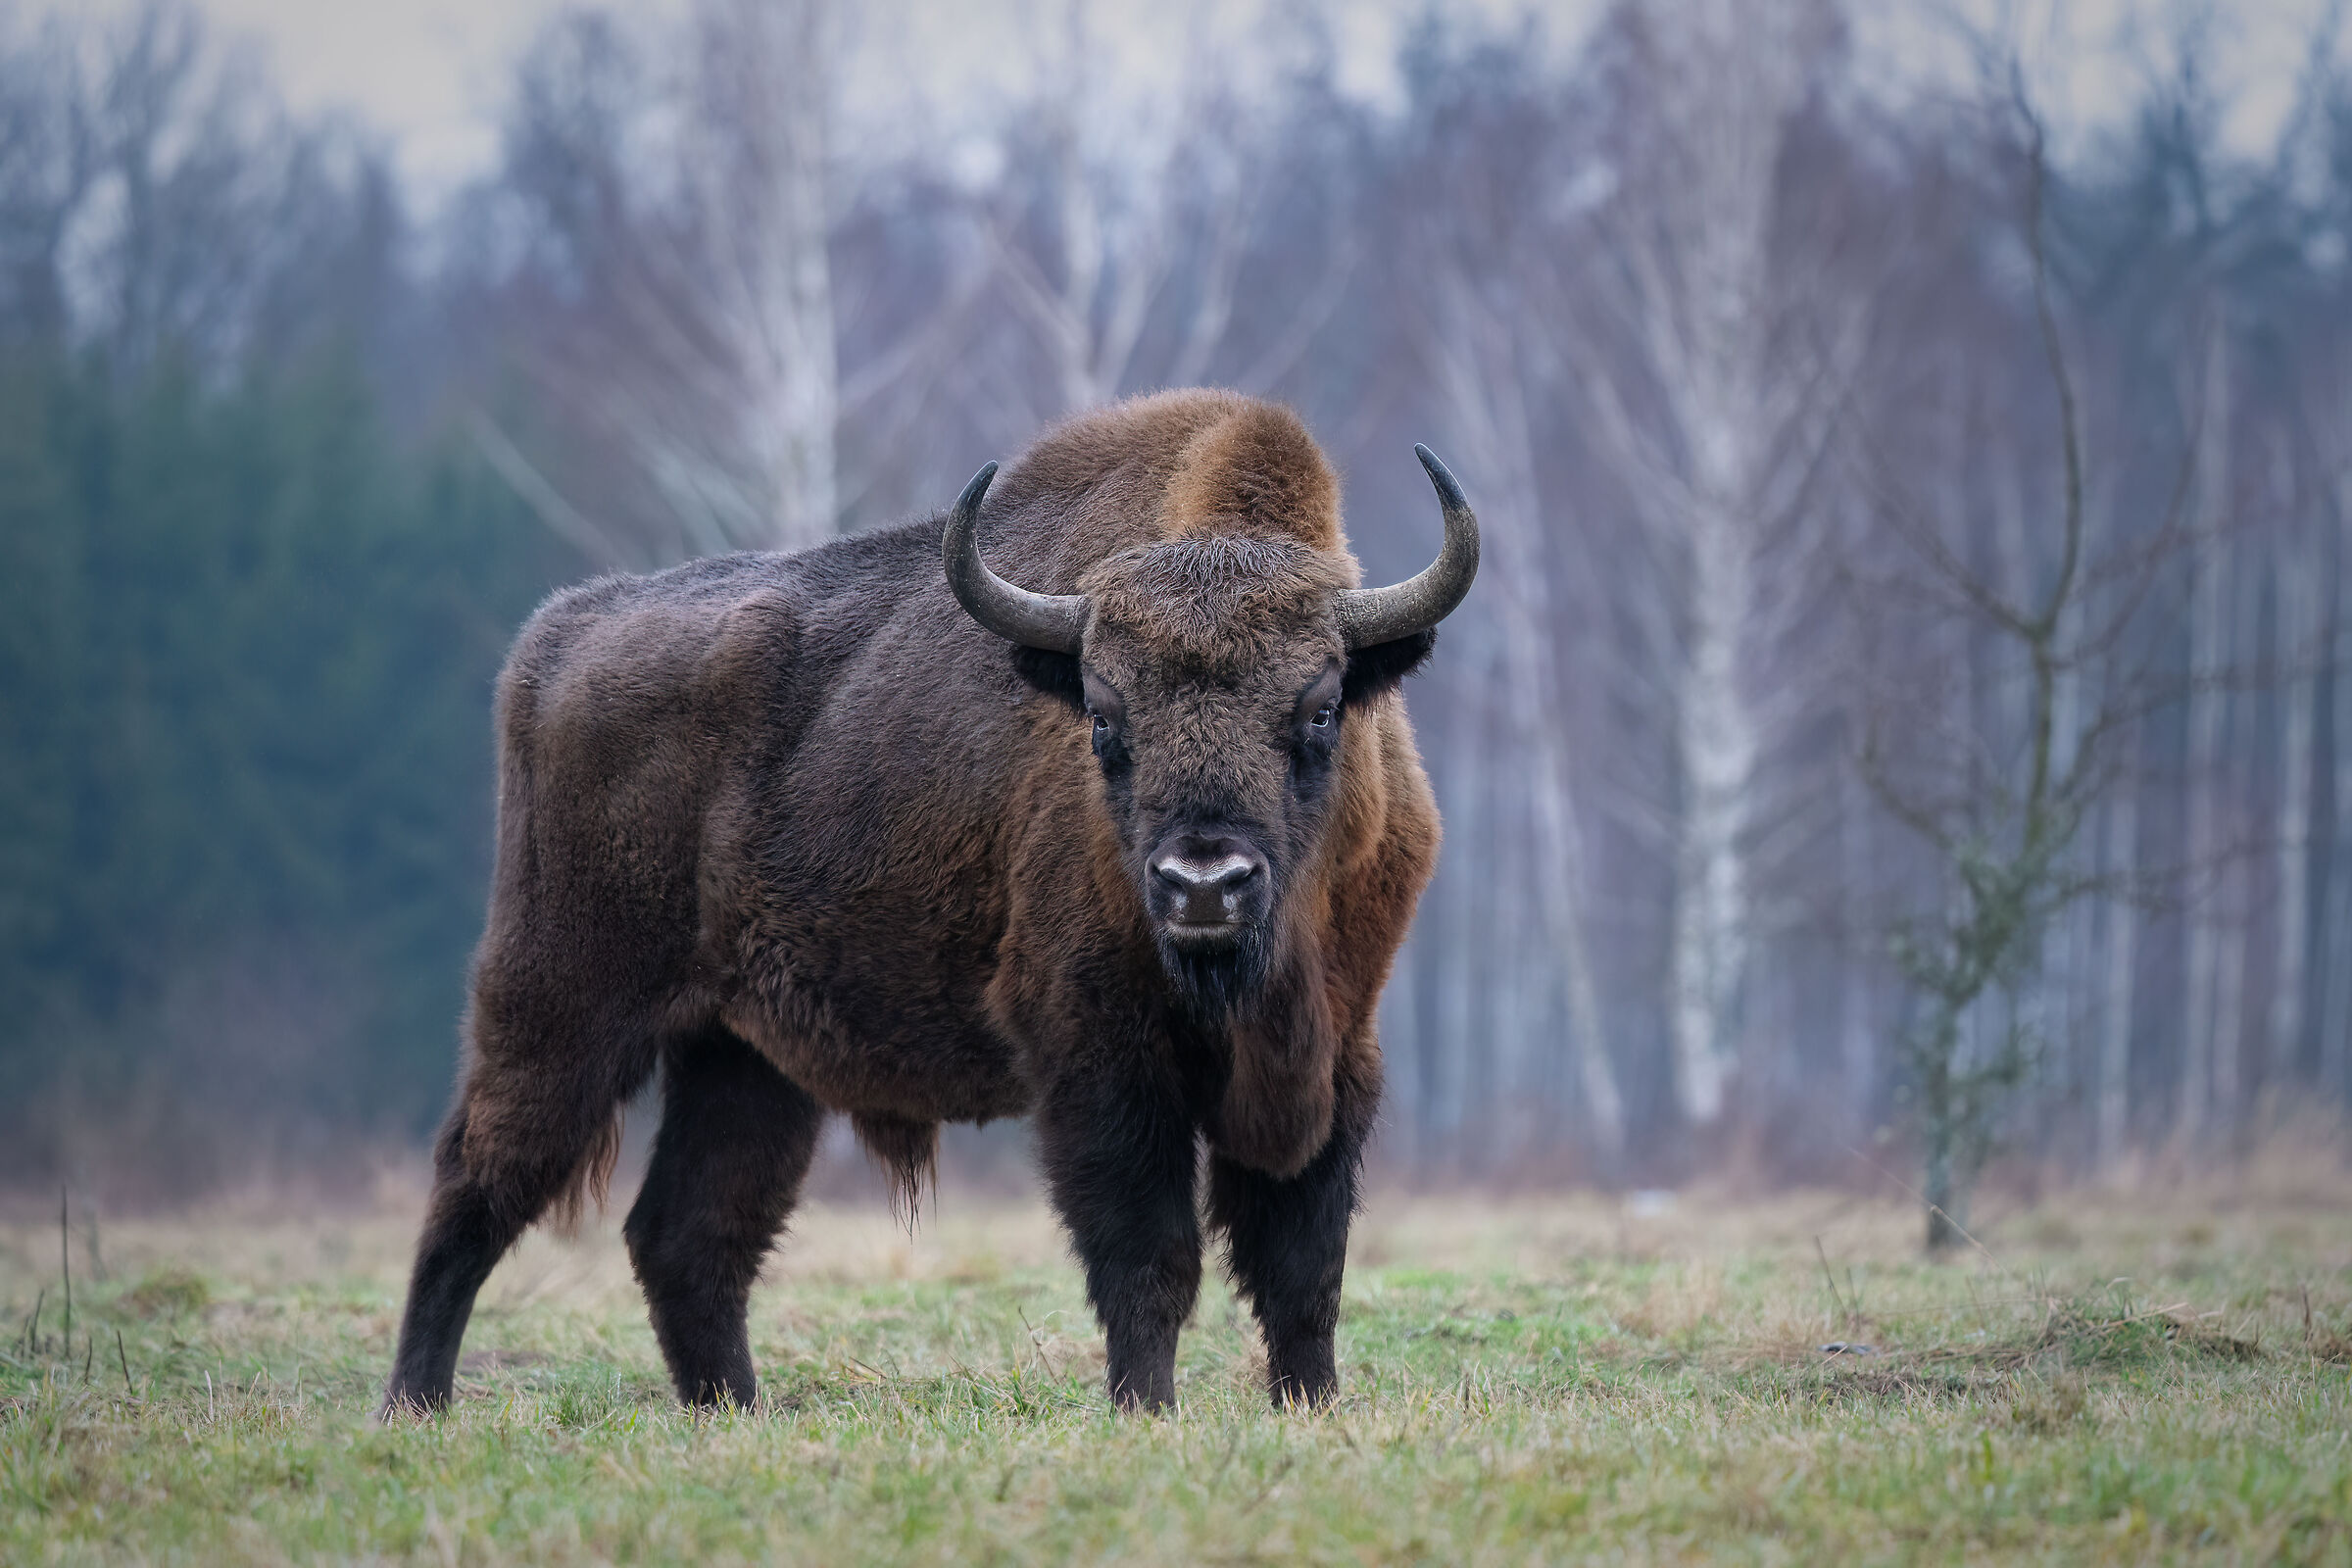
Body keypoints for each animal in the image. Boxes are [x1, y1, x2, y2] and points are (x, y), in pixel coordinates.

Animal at [384, 390, 1477, 1414]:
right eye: (1105, 717)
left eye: (1321, 708)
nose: (1202, 884)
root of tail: (555, 640)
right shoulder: (1098, 1057)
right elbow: (1150, 1256)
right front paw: (1145, 1407)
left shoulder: (1337, 1051)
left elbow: (1303, 1269)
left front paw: (1311, 1405)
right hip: (562, 1005)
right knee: (475, 1183)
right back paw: (416, 1403)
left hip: (744, 1059)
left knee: (688, 1231)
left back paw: (734, 1410)